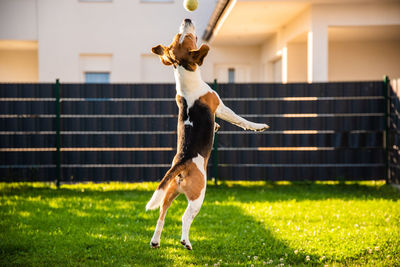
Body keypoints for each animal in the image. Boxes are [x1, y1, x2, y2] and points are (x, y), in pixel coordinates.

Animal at [145, 18, 268, 251]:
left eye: (180, 36)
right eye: (186, 37)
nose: (187, 19)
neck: (183, 75)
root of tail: (181, 162)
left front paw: (217, 127)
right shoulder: (219, 106)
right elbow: (240, 120)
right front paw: (258, 126)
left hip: (169, 193)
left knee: (162, 215)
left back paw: (156, 241)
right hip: (198, 195)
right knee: (185, 217)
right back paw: (185, 241)